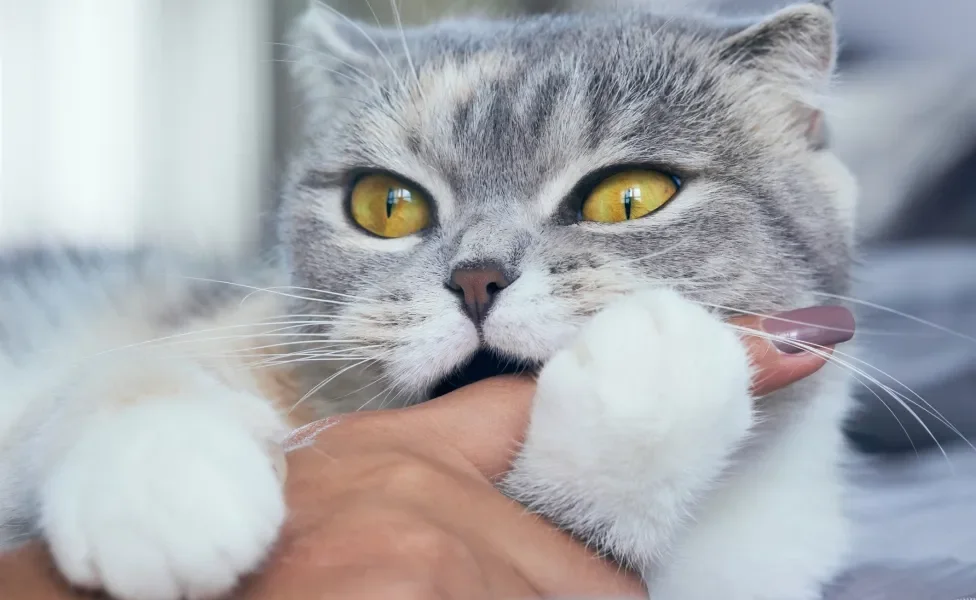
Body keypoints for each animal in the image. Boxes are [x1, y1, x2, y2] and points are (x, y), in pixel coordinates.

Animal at [0, 1, 856, 600]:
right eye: (387, 205)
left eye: (629, 197)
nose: (476, 278)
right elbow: (130, 378)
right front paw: (158, 485)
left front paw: (651, 367)